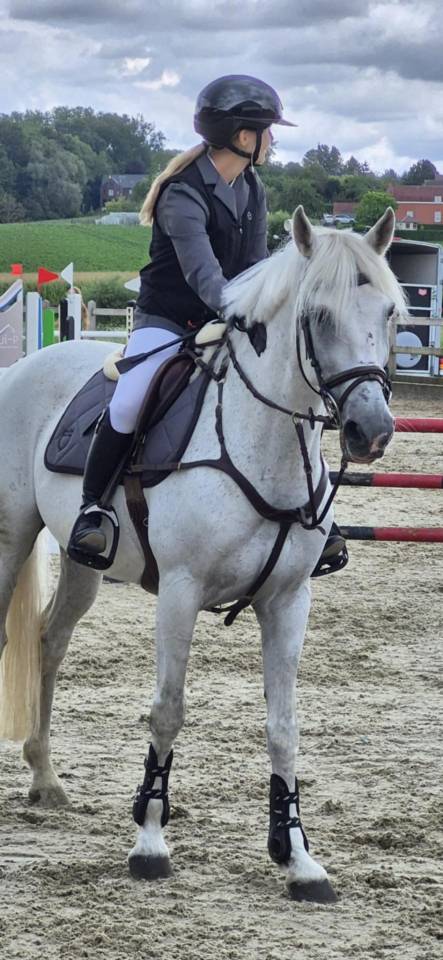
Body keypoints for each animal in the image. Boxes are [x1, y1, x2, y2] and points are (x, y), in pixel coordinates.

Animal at [0, 206, 406, 902]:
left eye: (387, 312)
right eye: (318, 315)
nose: (370, 431)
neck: (263, 443)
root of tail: (28, 365)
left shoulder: (289, 602)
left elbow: (284, 726)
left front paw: (298, 857)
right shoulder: (180, 593)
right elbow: (167, 712)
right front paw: (150, 841)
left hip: (84, 564)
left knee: (49, 643)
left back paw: (44, 778)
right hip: (10, 536)